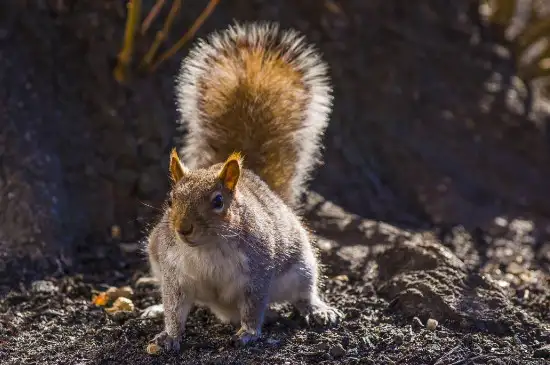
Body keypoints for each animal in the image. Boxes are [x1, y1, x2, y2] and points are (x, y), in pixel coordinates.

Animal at [146, 20, 340, 350]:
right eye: (170, 200)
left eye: (218, 202)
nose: (183, 229)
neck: (208, 248)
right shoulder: (174, 274)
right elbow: (174, 306)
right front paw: (169, 334)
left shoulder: (257, 272)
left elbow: (253, 305)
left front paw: (249, 333)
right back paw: (155, 308)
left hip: (301, 267)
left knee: (304, 293)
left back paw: (317, 309)